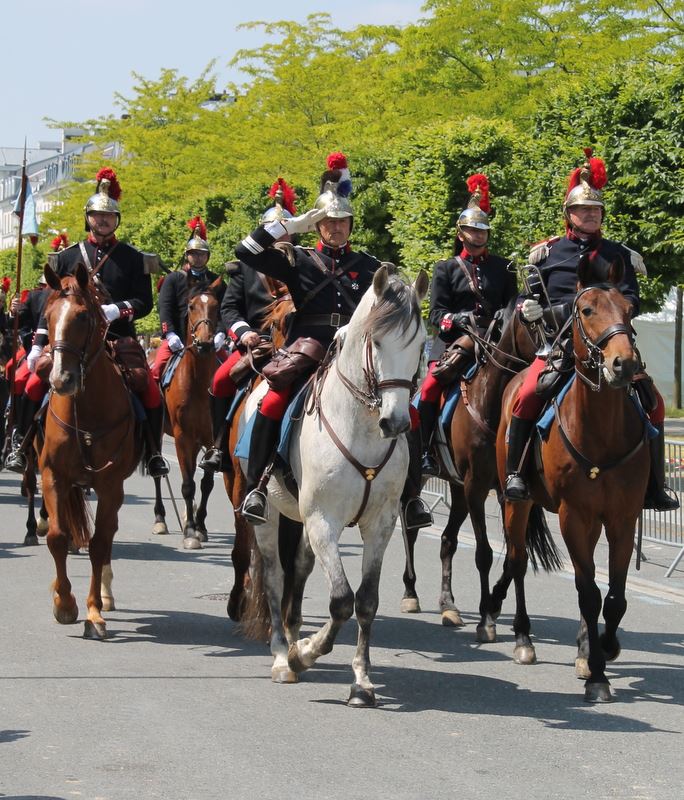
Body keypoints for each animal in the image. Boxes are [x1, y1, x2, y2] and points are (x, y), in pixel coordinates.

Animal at [41, 262, 142, 636]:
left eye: (83, 317)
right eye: (48, 316)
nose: (60, 380)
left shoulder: (110, 484)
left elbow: (99, 544)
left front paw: (94, 611)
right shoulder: (52, 476)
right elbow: (57, 537)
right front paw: (64, 603)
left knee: (107, 535)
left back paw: (105, 594)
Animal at [150, 276, 223, 552]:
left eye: (216, 306)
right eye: (191, 306)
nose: (205, 343)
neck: (198, 382)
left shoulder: (211, 438)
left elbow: (206, 483)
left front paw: (199, 526)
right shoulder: (183, 437)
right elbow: (188, 484)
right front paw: (191, 531)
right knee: (159, 473)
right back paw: (161, 518)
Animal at [239, 268, 428, 708]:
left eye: (421, 344)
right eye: (377, 341)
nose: (396, 423)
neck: (361, 428)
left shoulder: (380, 524)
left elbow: (366, 601)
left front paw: (361, 682)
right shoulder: (323, 520)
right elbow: (341, 600)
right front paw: (303, 655)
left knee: (300, 569)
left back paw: (293, 633)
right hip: (270, 516)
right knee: (274, 577)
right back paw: (282, 654)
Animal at [400, 296, 560, 640]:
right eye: (536, 325)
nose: (559, 361)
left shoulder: (502, 490)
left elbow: (510, 555)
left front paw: (494, 606)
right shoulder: (476, 487)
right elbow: (484, 554)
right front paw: (486, 619)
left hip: (458, 490)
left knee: (448, 541)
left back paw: (448, 605)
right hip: (418, 480)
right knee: (411, 529)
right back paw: (410, 593)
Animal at [496, 256, 648, 700]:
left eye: (629, 309)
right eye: (586, 310)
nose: (624, 364)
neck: (601, 430)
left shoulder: (621, 518)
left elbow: (613, 597)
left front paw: (604, 649)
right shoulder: (573, 516)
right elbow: (589, 594)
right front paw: (598, 675)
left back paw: (584, 649)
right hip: (516, 503)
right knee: (516, 561)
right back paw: (523, 639)